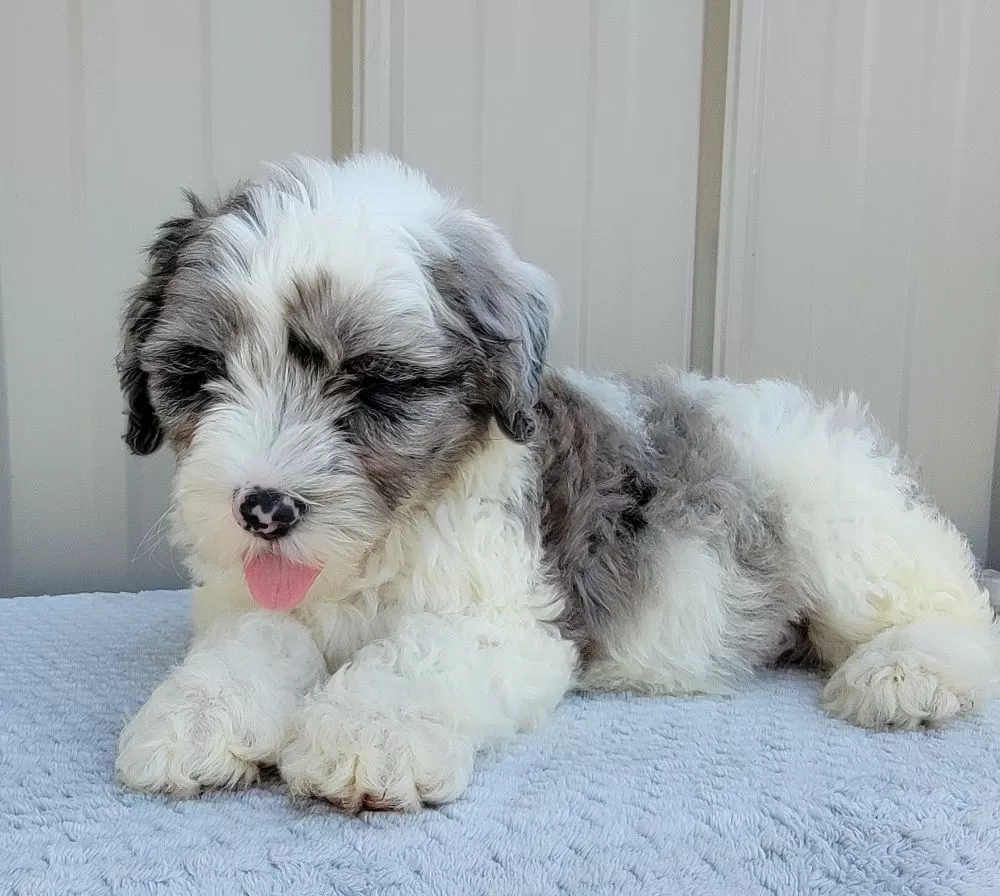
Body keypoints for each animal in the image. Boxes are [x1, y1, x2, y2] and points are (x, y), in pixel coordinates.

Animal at [117, 154, 1000, 812]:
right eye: (200, 374)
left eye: (377, 385)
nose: (263, 509)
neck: (370, 551)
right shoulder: (245, 598)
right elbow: (256, 641)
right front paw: (195, 719)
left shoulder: (508, 623)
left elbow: (418, 655)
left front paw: (368, 735)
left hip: (839, 520)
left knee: (955, 609)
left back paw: (905, 673)